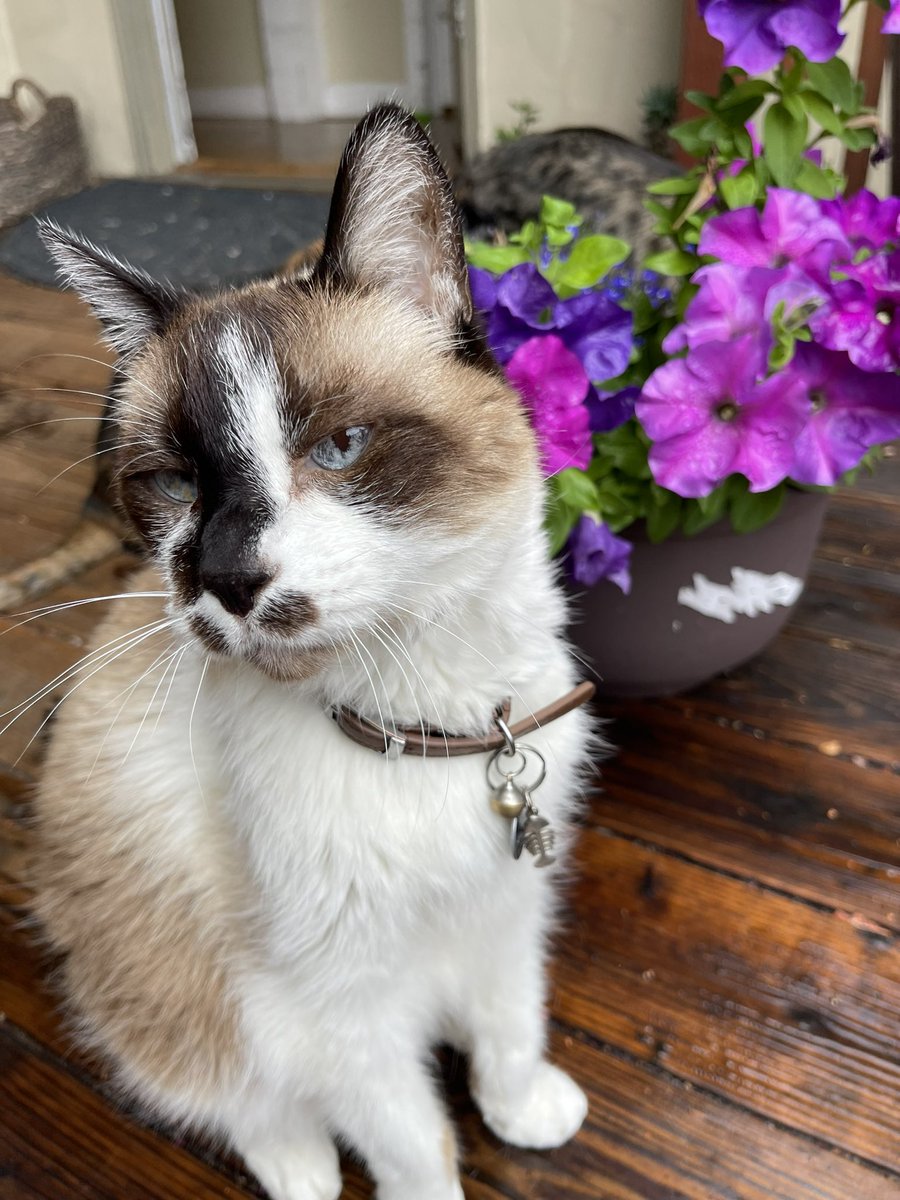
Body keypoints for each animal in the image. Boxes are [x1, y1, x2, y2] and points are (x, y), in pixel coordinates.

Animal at [30, 105, 600, 1200]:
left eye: (338, 448)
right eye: (173, 484)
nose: (222, 577)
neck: (434, 733)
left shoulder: (507, 911)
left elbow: (510, 1029)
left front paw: (524, 1113)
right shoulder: (338, 1009)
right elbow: (416, 1149)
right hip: (194, 1005)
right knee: (241, 1102)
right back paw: (300, 1169)